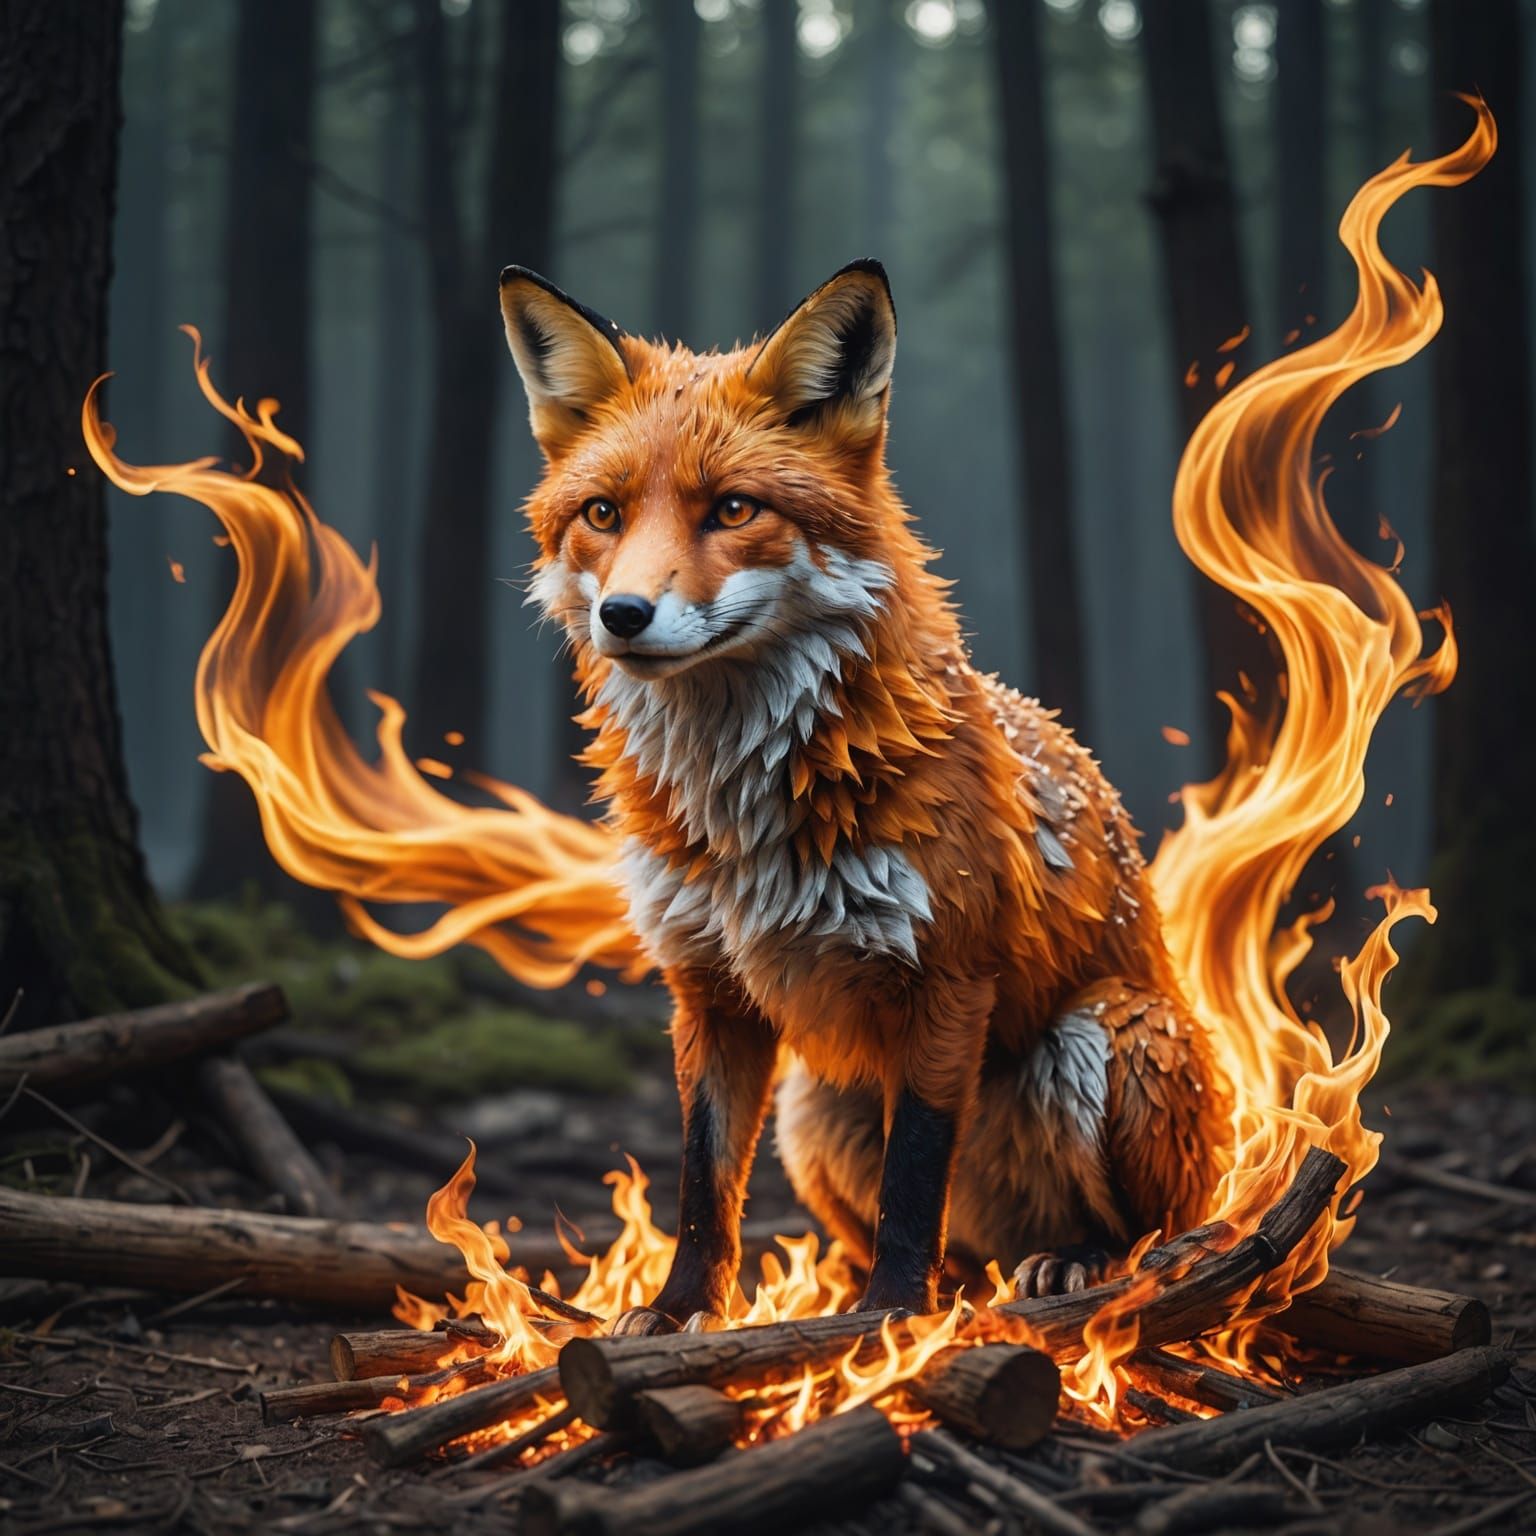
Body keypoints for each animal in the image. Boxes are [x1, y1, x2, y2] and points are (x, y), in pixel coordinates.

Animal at [499, 258, 1232, 1330]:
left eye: (733, 510)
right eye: (603, 514)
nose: (623, 615)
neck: (748, 819)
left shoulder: (950, 976)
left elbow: (914, 1175)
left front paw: (892, 1318)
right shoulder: (708, 987)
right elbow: (702, 1181)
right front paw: (680, 1311)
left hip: (1110, 1033)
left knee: (1153, 1230)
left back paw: (1074, 1261)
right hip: (814, 1107)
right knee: (947, 1244)